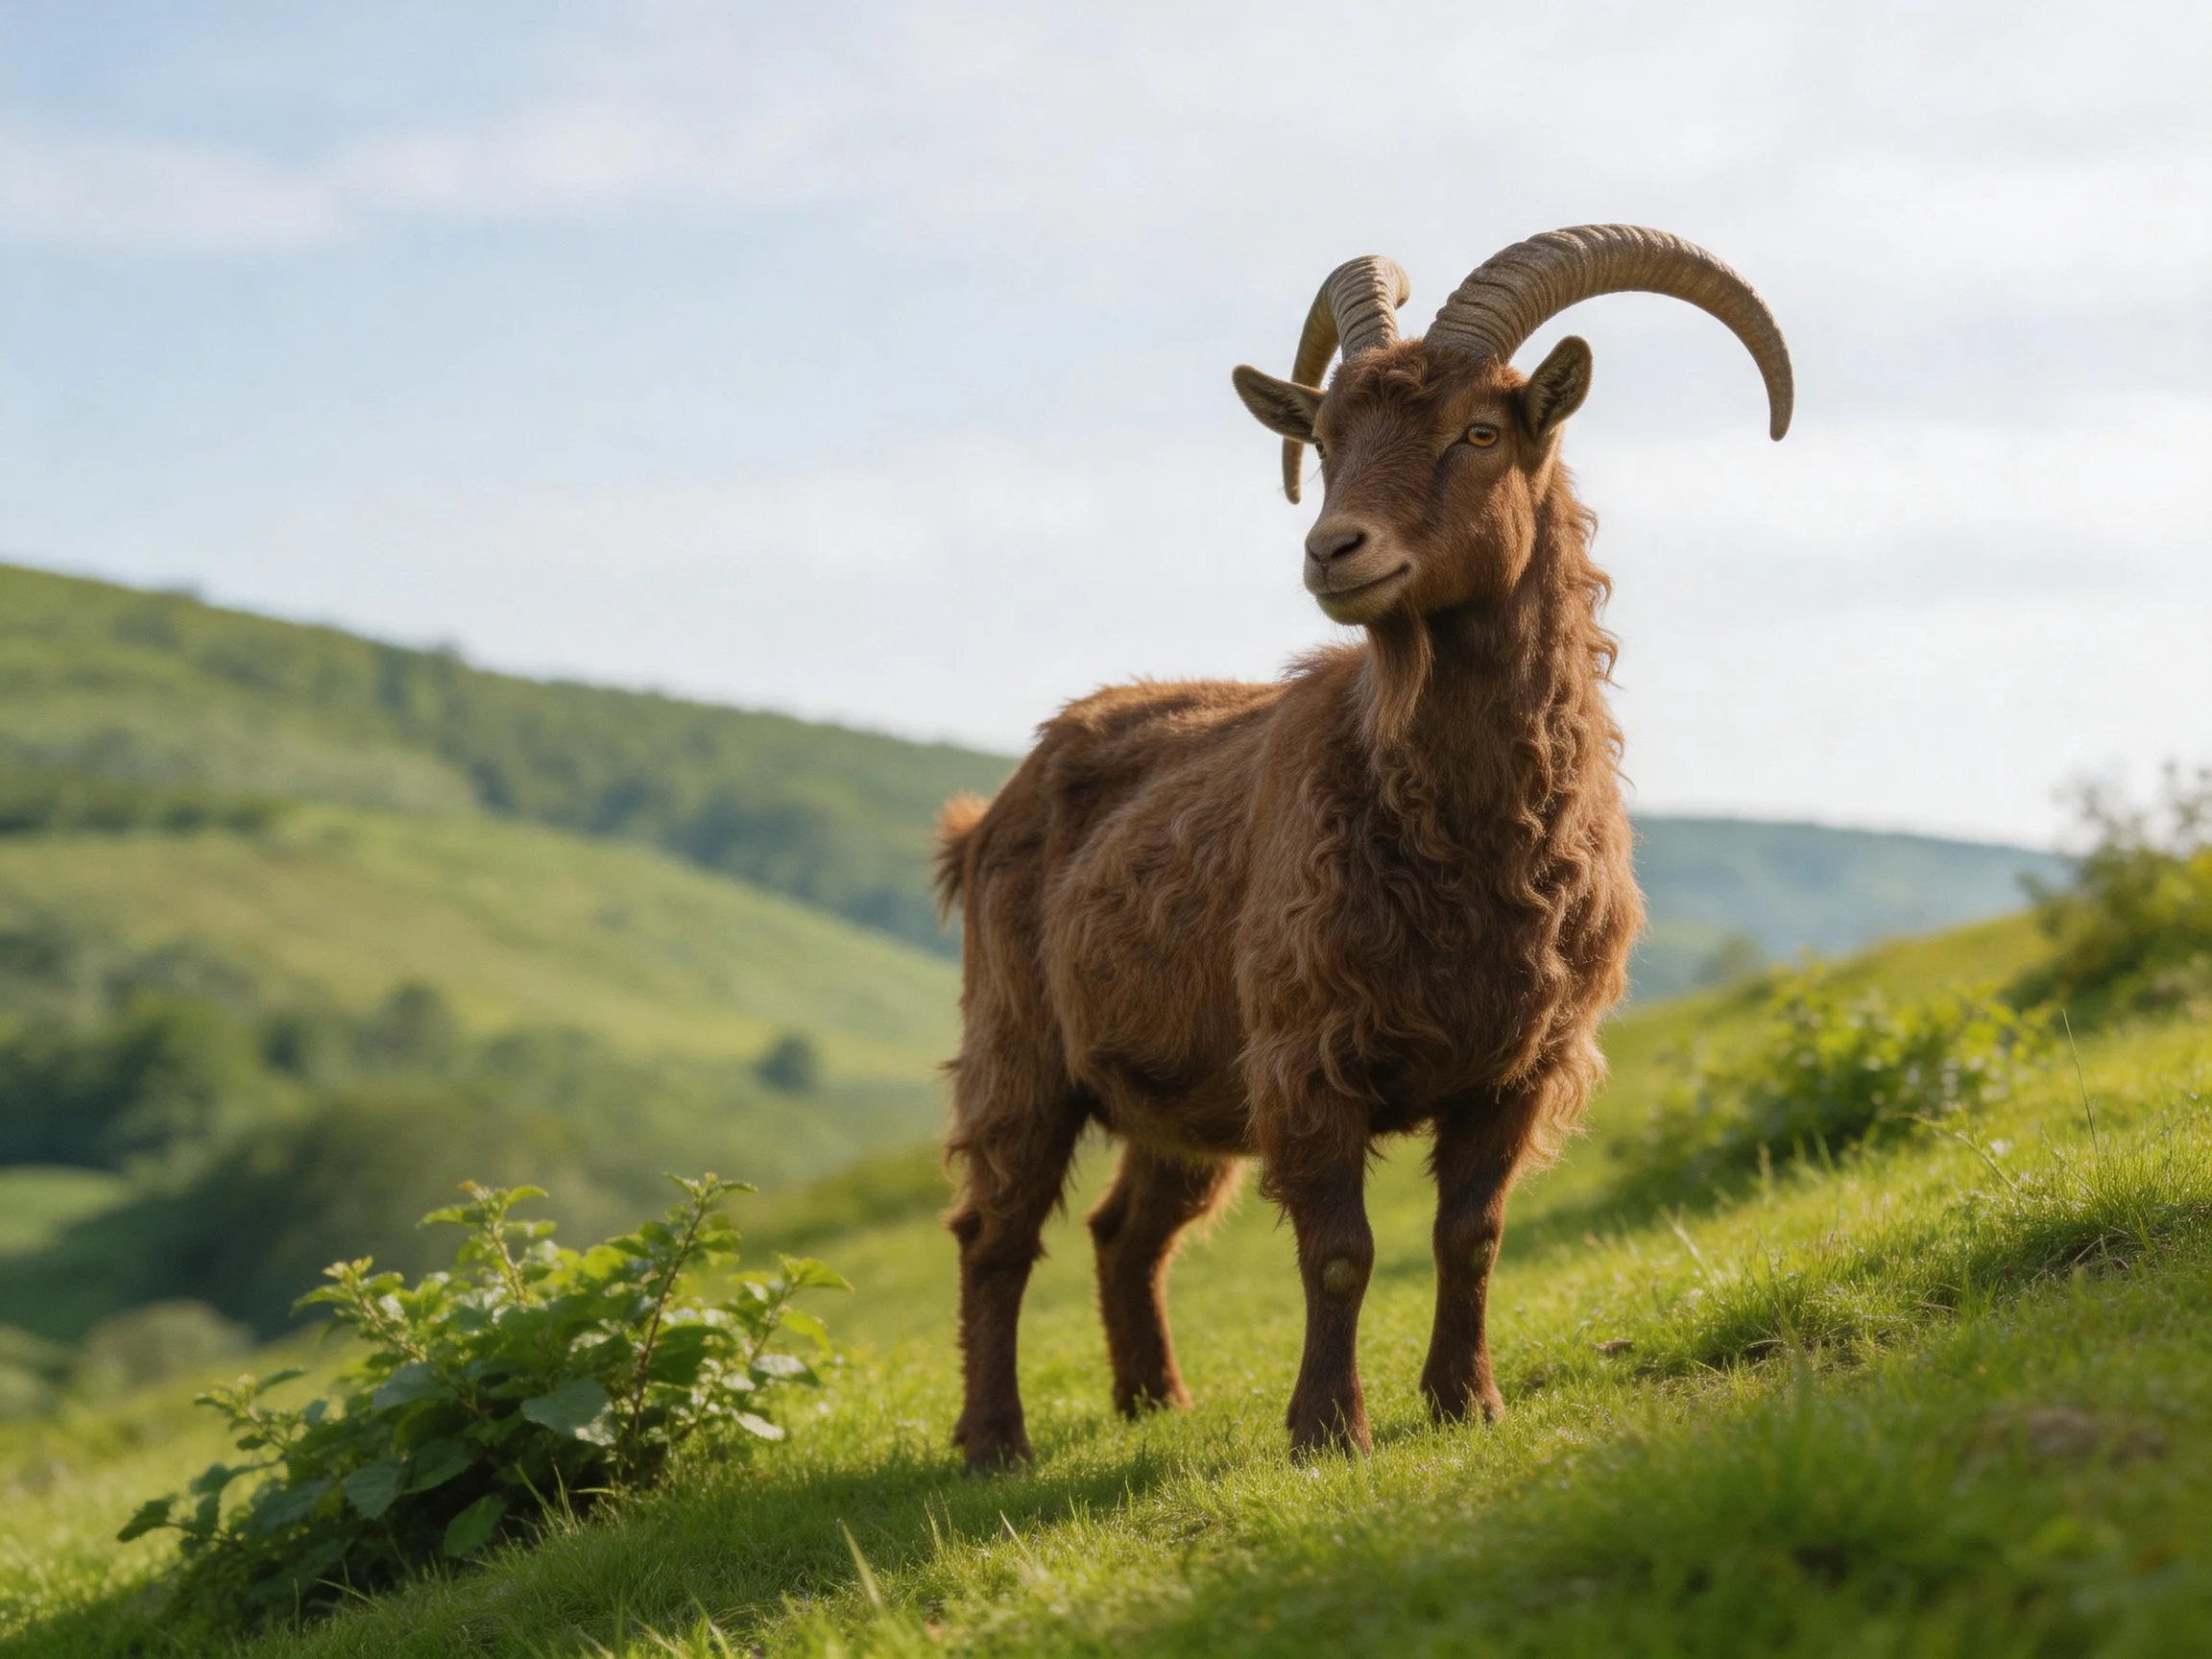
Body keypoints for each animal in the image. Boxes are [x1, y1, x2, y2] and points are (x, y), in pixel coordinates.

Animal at [936, 226, 1792, 1468]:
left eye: (1481, 431)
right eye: (1327, 439)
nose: (1333, 548)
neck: (1460, 836)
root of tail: (991, 811)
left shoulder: (1518, 1066)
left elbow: (1471, 1236)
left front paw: (1467, 1401)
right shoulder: (1307, 1055)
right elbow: (1340, 1254)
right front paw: (1328, 1430)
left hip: (1183, 1092)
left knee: (1124, 1230)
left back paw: (1154, 1401)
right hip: (1019, 1049)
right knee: (994, 1231)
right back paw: (995, 1440)